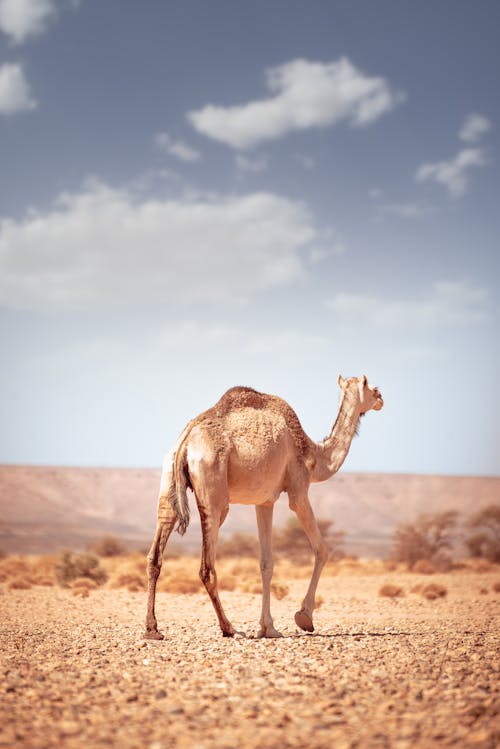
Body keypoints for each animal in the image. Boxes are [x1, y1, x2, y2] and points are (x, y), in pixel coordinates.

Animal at [145, 374, 382, 636]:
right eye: (373, 388)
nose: (381, 399)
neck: (313, 455)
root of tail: (186, 442)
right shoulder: (298, 490)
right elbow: (322, 549)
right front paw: (303, 617)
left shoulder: (265, 501)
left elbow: (266, 563)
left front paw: (268, 627)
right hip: (214, 493)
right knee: (207, 567)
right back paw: (229, 628)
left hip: (168, 479)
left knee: (156, 551)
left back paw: (152, 629)